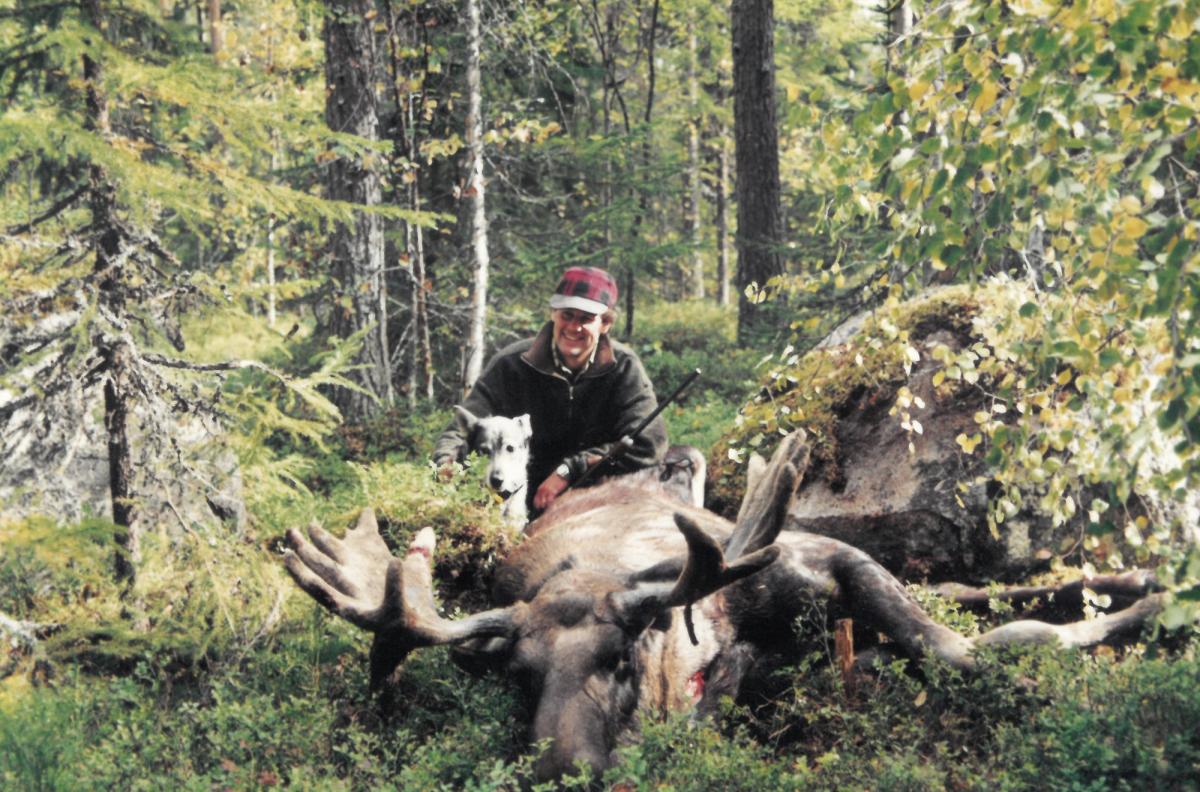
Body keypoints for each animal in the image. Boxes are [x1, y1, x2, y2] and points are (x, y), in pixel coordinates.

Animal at [280, 429, 1161, 782]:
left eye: (622, 658)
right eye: (516, 677)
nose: (563, 770)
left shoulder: (823, 558)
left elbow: (967, 647)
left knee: (967, 594)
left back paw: (1142, 589)